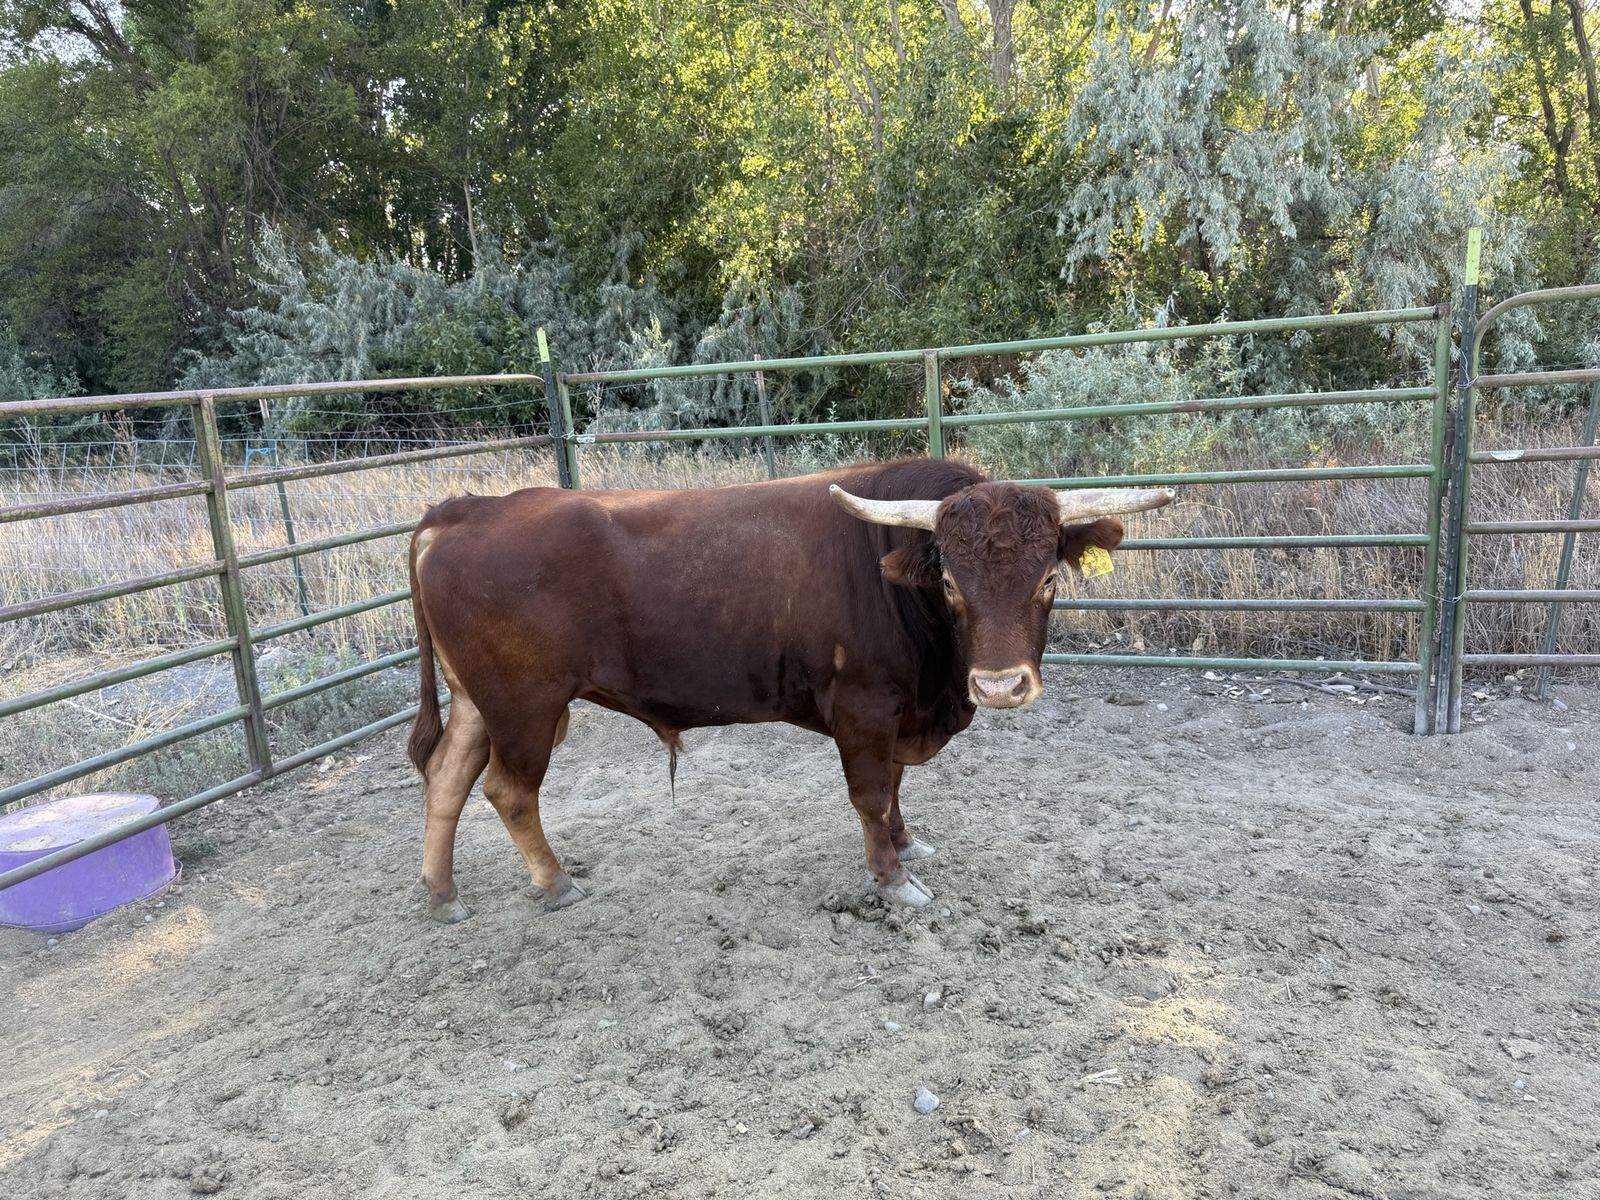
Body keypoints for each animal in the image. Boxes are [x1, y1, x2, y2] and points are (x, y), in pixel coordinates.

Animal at [406, 457, 1173, 921]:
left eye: (1048, 578)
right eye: (952, 583)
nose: (1001, 684)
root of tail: (467, 509)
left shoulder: (898, 713)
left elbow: (895, 788)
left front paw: (906, 844)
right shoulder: (864, 706)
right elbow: (871, 793)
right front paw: (891, 877)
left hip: (476, 700)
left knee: (446, 776)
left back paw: (442, 893)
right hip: (525, 704)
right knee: (508, 791)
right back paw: (554, 882)